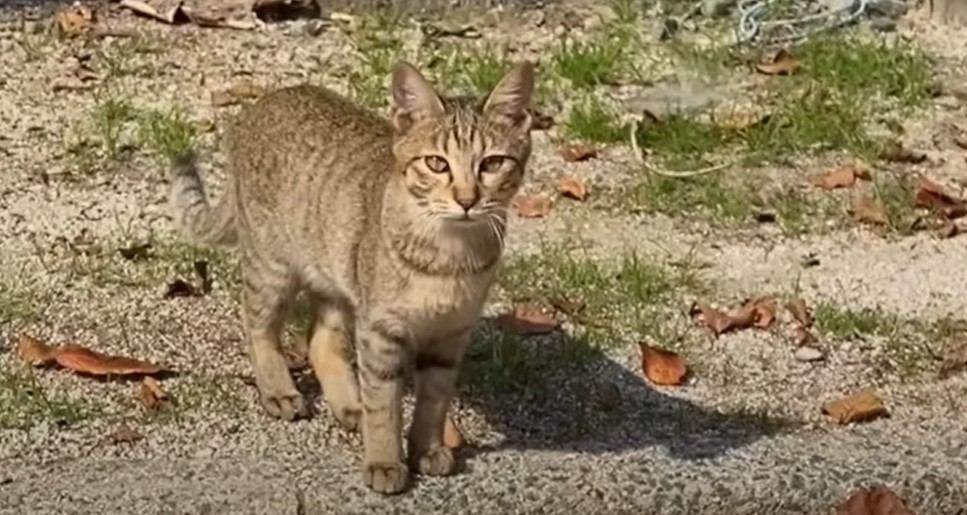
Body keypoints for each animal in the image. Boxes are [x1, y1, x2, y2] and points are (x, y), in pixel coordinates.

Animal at [170, 58, 536, 494]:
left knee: (319, 339)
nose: (467, 200)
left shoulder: (451, 333)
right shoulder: (379, 330)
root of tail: (261, 104)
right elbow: (384, 404)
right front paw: (384, 460)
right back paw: (278, 390)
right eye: (437, 163)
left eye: (492, 164)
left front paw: (426, 448)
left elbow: (434, 400)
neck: (449, 255)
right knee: (257, 324)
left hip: (337, 278)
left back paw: (348, 403)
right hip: (272, 267)